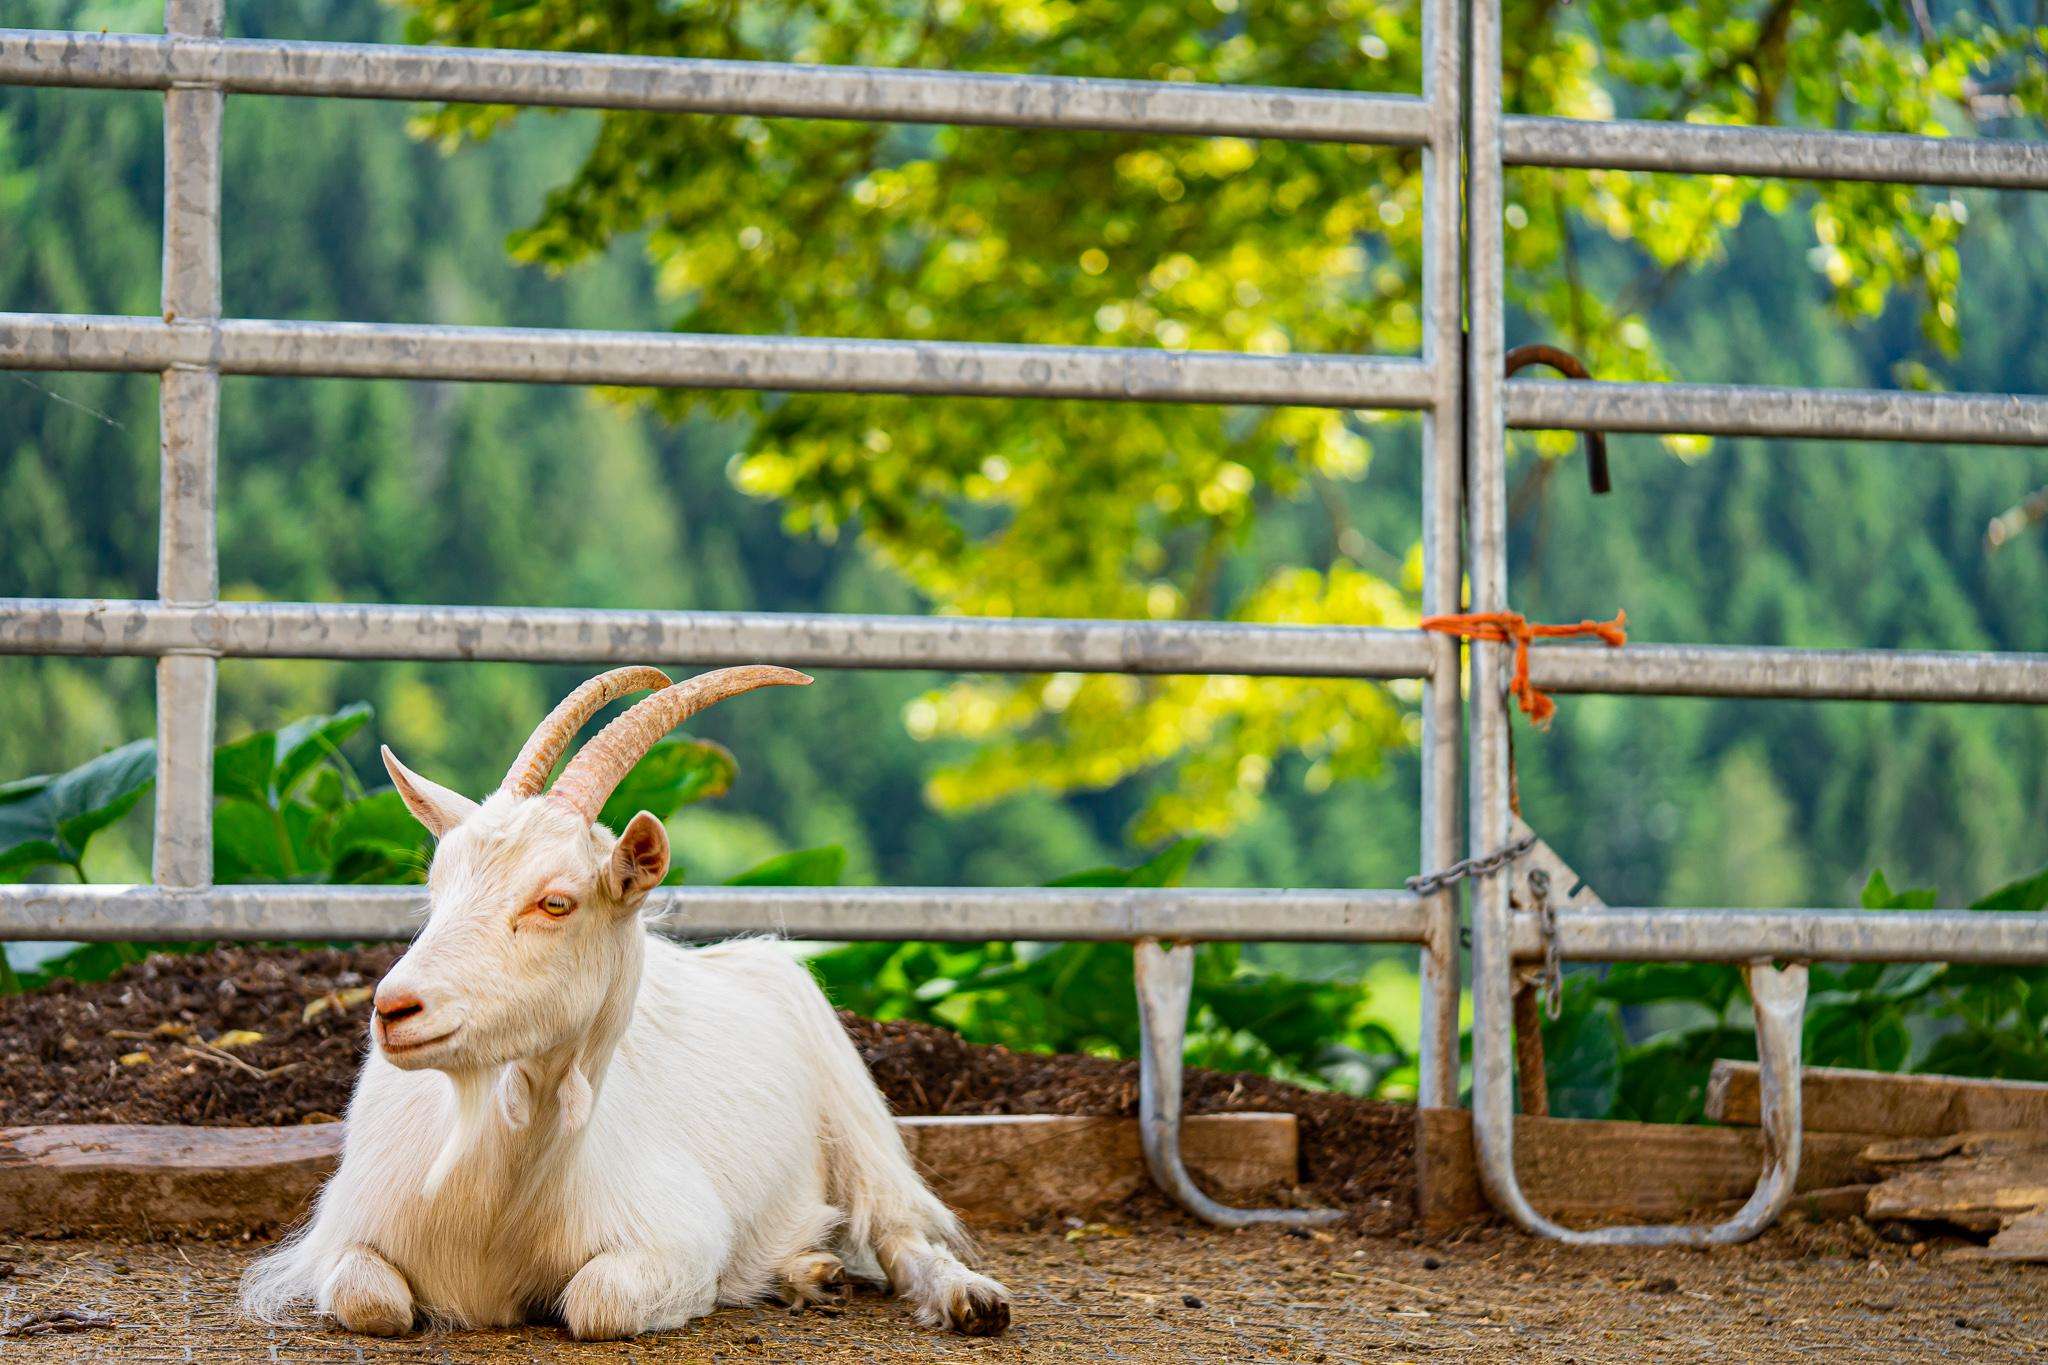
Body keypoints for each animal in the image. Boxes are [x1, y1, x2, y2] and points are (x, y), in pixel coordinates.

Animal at [242, 666, 1011, 1341]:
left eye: (556, 902)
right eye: (436, 886)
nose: (395, 1009)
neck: (492, 1201)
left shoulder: (677, 1236)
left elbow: (598, 1301)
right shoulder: (339, 1237)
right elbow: (370, 1298)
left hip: (853, 1112)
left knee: (899, 1229)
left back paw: (968, 1298)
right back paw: (807, 1270)